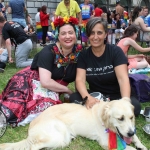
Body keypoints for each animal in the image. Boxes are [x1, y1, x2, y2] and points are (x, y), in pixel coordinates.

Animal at [0, 97, 147, 150]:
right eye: (120, 118)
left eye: (131, 117)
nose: (129, 132)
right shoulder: (107, 143)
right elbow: (130, 148)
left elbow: (136, 138)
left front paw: (141, 145)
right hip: (58, 137)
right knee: (33, 147)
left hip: (62, 140)